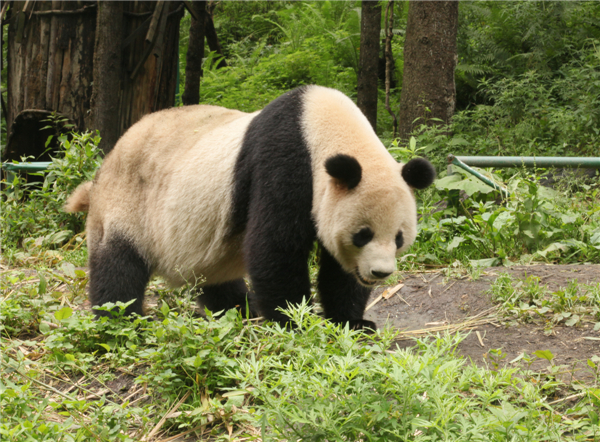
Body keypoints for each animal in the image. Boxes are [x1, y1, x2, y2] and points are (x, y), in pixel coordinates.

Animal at [65, 84, 434, 330]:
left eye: (399, 238)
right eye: (363, 234)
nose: (380, 273)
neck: (323, 125)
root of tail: (106, 163)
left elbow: (338, 268)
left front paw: (353, 323)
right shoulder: (284, 161)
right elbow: (275, 246)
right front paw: (294, 320)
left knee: (215, 276)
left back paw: (239, 310)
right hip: (127, 203)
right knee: (118, 267)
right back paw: (120, 320)